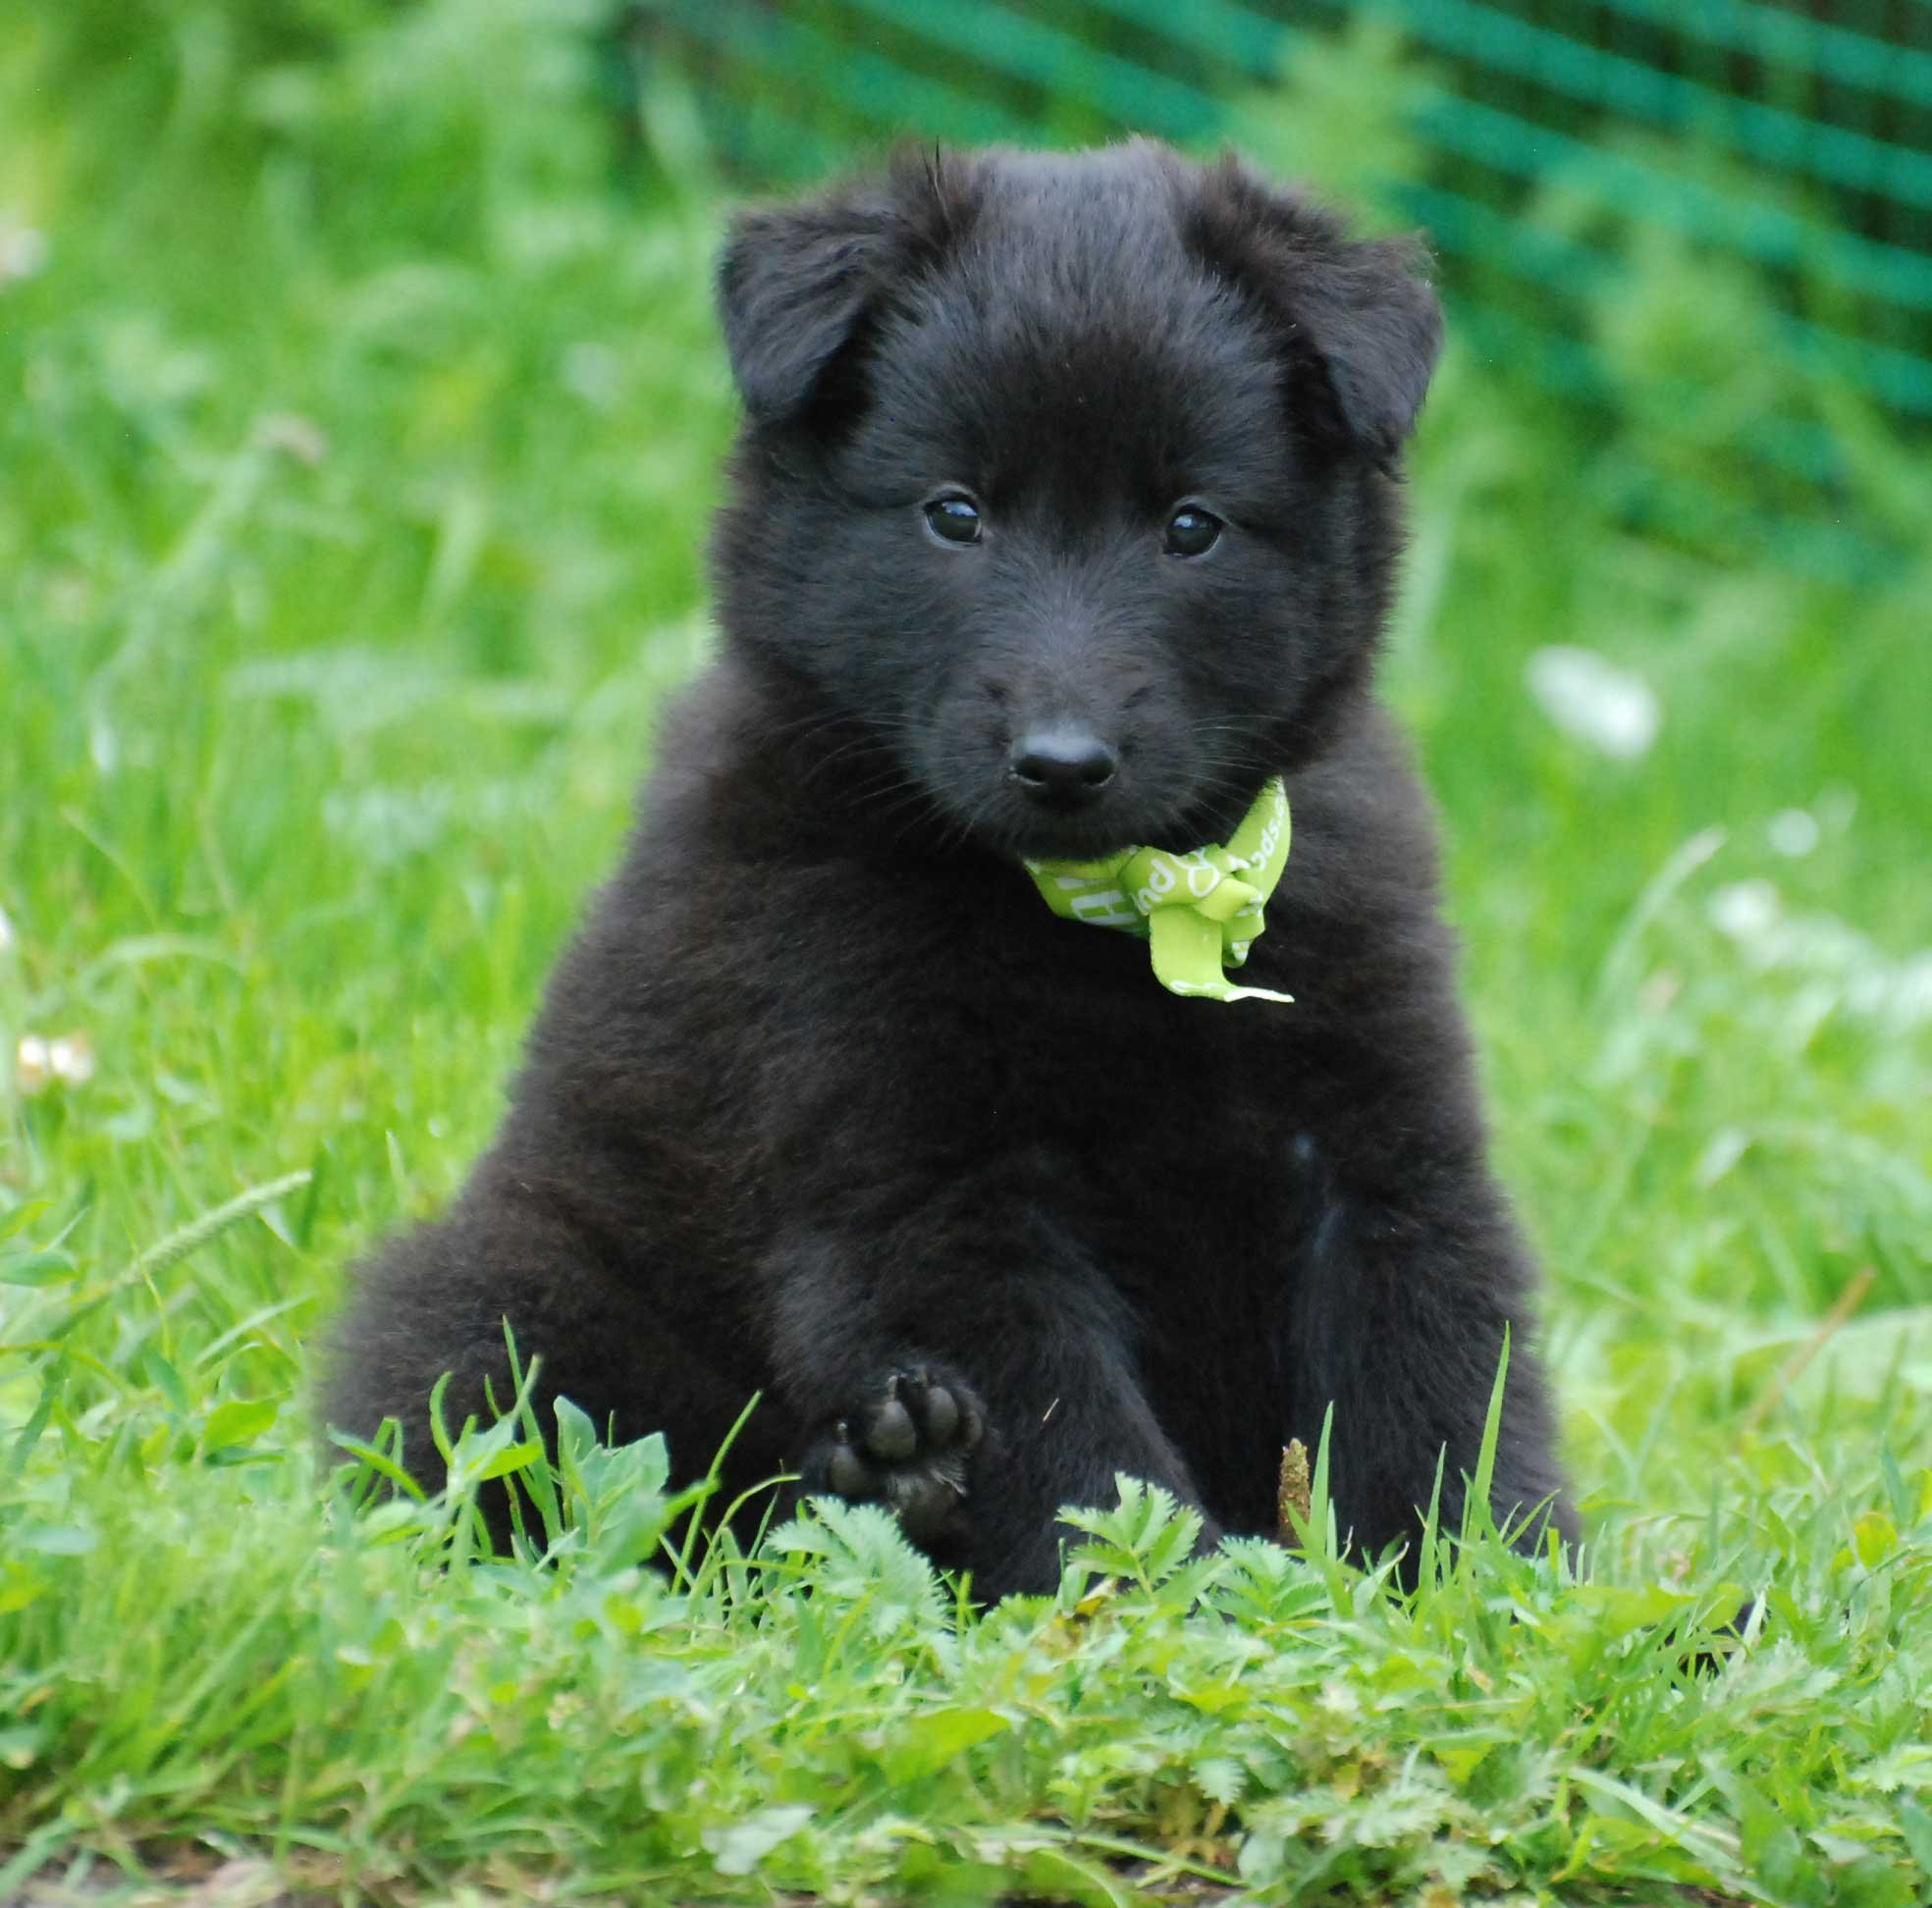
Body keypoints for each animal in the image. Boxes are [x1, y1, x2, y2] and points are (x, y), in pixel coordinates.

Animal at [324, 141, 1576, 1591]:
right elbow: (1087, 1461)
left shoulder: (1381, 1147)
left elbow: (1447, 1391)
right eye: (955, 514)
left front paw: (1512, 1599)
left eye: (1191, 526)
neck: (1117, 921)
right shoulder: (917, 1182)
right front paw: (1183, 1609)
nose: (1063, 761)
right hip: (510, 1299)